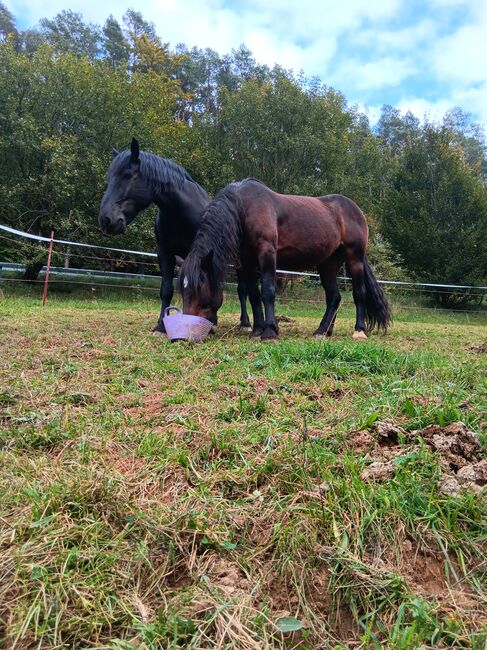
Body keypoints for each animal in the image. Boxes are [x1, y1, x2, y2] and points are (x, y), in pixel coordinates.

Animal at [99, 136, 252, 330]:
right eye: (109, 177)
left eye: (127, 175)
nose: (106, 220)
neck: (179, 212)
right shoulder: (165, 253)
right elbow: (166, 290)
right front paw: (161, 325)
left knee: (242, 289)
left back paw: (244, 322)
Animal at [179, 177, 392, 340]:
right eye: (183, 289)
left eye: (200, 287)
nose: (186, 332)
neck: (245, 208)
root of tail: (355, 210)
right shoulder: (247, 260)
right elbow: (253, 294)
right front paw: (257, 330)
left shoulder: (267, 253)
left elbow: (267, 291)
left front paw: (269, 331)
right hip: (328, 264)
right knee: (334, 297)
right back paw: (323, 331)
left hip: (354, 258)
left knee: (359, 293)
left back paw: (359, 331)